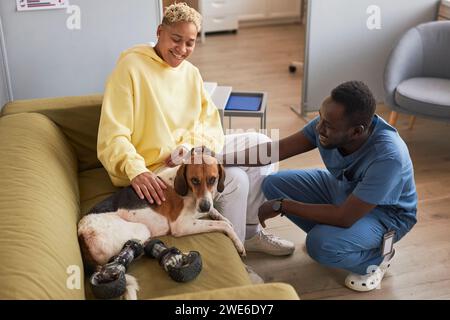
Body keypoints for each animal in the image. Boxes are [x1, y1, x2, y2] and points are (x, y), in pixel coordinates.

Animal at [78, 151, 246, 298]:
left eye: (213, 179)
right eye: (194, 180)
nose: (204, 207)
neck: (186, 189)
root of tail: (81, 233)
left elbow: (219, 215)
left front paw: (221, 217)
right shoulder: (182, 225)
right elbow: (224, 225)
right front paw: (238, 243)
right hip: (142, 229)